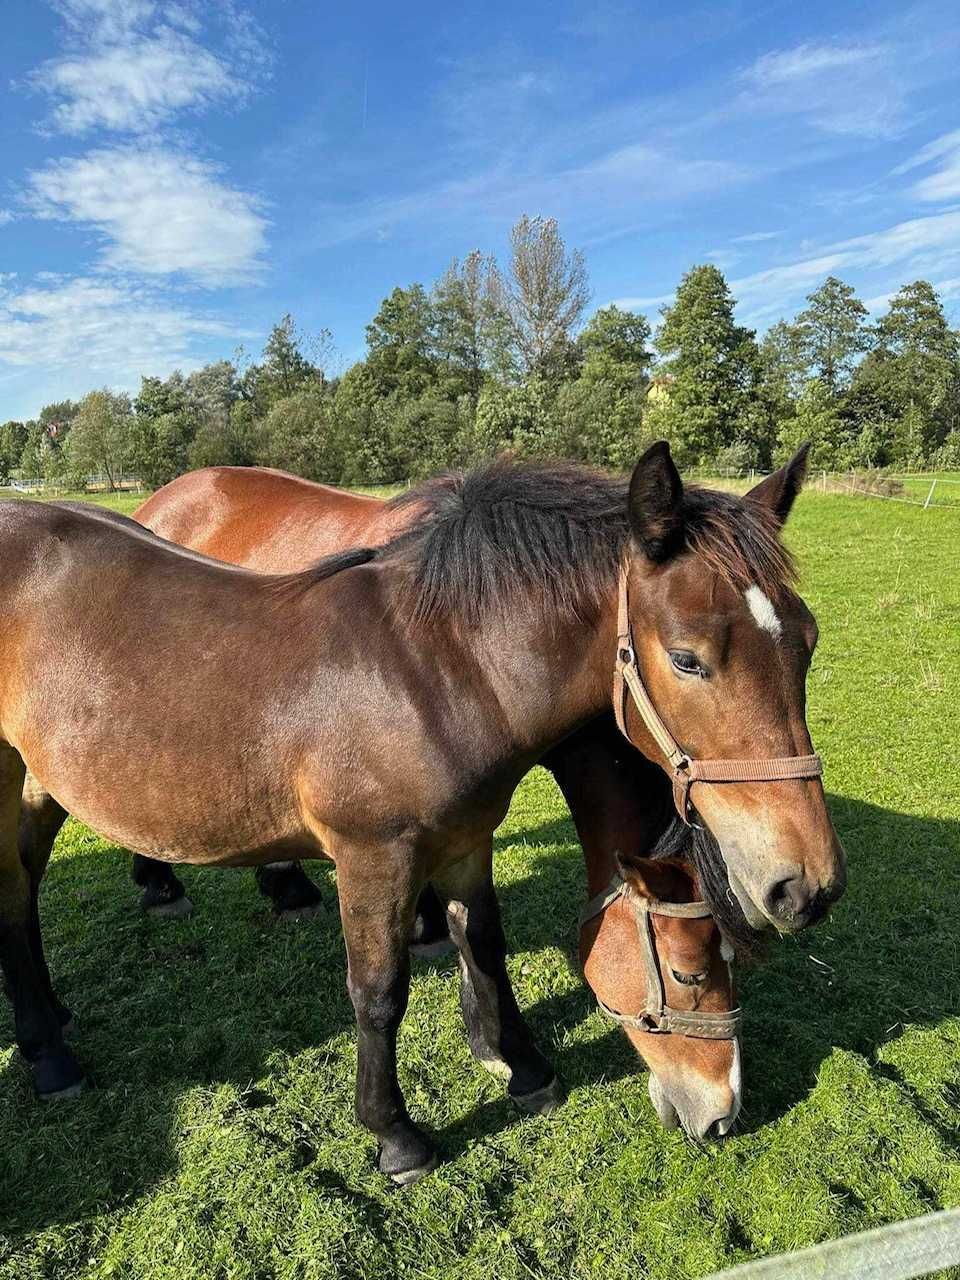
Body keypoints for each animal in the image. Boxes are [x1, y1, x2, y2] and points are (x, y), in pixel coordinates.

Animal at [0, 448, 839, 1177]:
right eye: (688, 658)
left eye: (807, 643)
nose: (723, 1112)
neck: (434, 669)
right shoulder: (374, 857)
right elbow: (378, 993)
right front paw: (396, 1136)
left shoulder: (466, 842)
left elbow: (485, 948)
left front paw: (523, 1067)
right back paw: (51, 1052)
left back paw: (53, 1026)